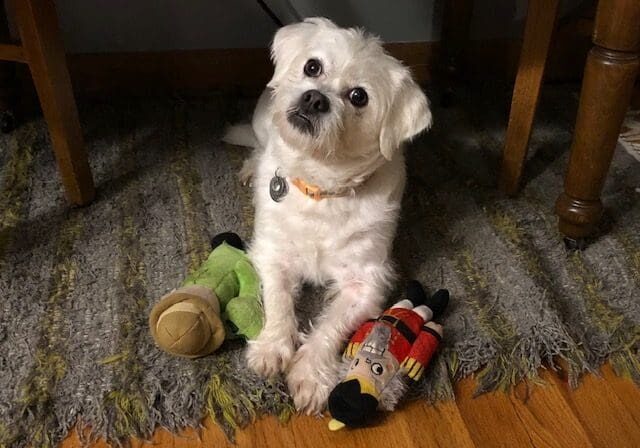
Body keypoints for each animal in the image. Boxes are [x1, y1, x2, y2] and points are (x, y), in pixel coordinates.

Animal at [222, 18, 432, 416]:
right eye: (313, 67)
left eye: (359, 96)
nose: (314, 98)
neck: (321, 189)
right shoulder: (273, 253)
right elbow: (278, 301)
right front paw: (271, 347)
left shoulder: (365, 282)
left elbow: (331, 327)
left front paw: (311, 375)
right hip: (263, 122)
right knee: (259, 144)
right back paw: (251, 166)